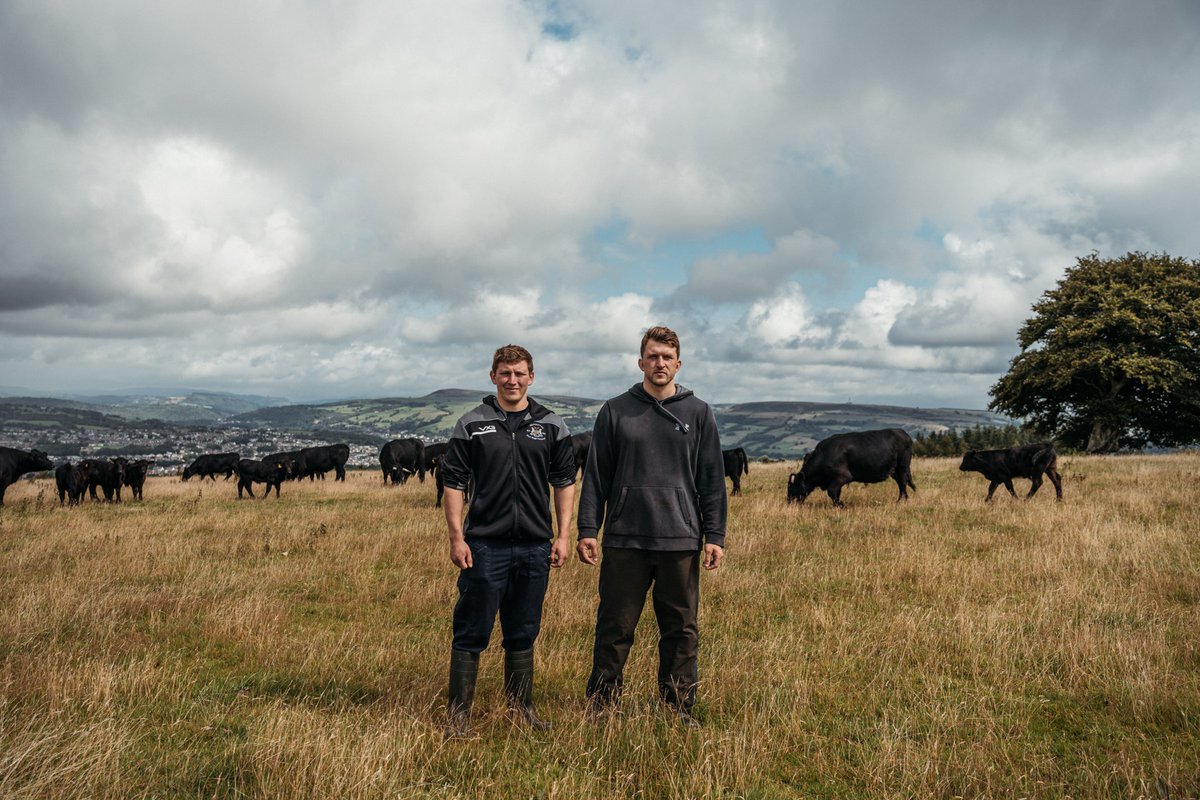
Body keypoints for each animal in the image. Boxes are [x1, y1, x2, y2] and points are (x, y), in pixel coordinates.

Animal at [787, 429, 916, 510]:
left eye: (792, 488)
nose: (788, 503)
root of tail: (903, 433)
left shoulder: (843, 476)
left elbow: (831, 491)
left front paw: (842, 506)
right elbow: (836, 493)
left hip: (902, 466)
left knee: (903, 483)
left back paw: (900, 501)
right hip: (894, 470)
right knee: (901, 483)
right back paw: (902, 500)